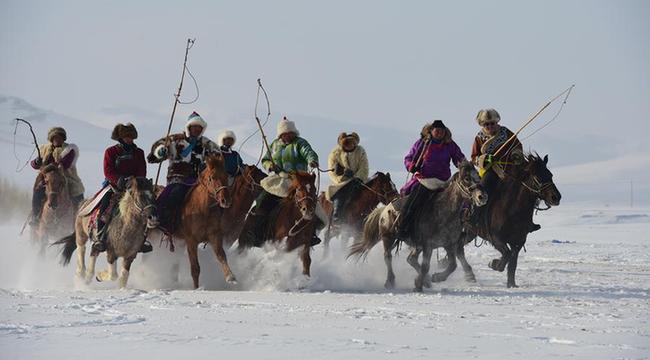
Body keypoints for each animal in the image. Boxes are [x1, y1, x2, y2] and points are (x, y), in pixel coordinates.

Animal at [468, 153, 560, 288]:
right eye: (537, 177)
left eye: (550, 175)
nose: (556, 197)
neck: (512, 211)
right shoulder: (496, 239)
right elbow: (507, 254)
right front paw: (493, 264)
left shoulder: (518, 242)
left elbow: (512, 263)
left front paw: (511, 284)